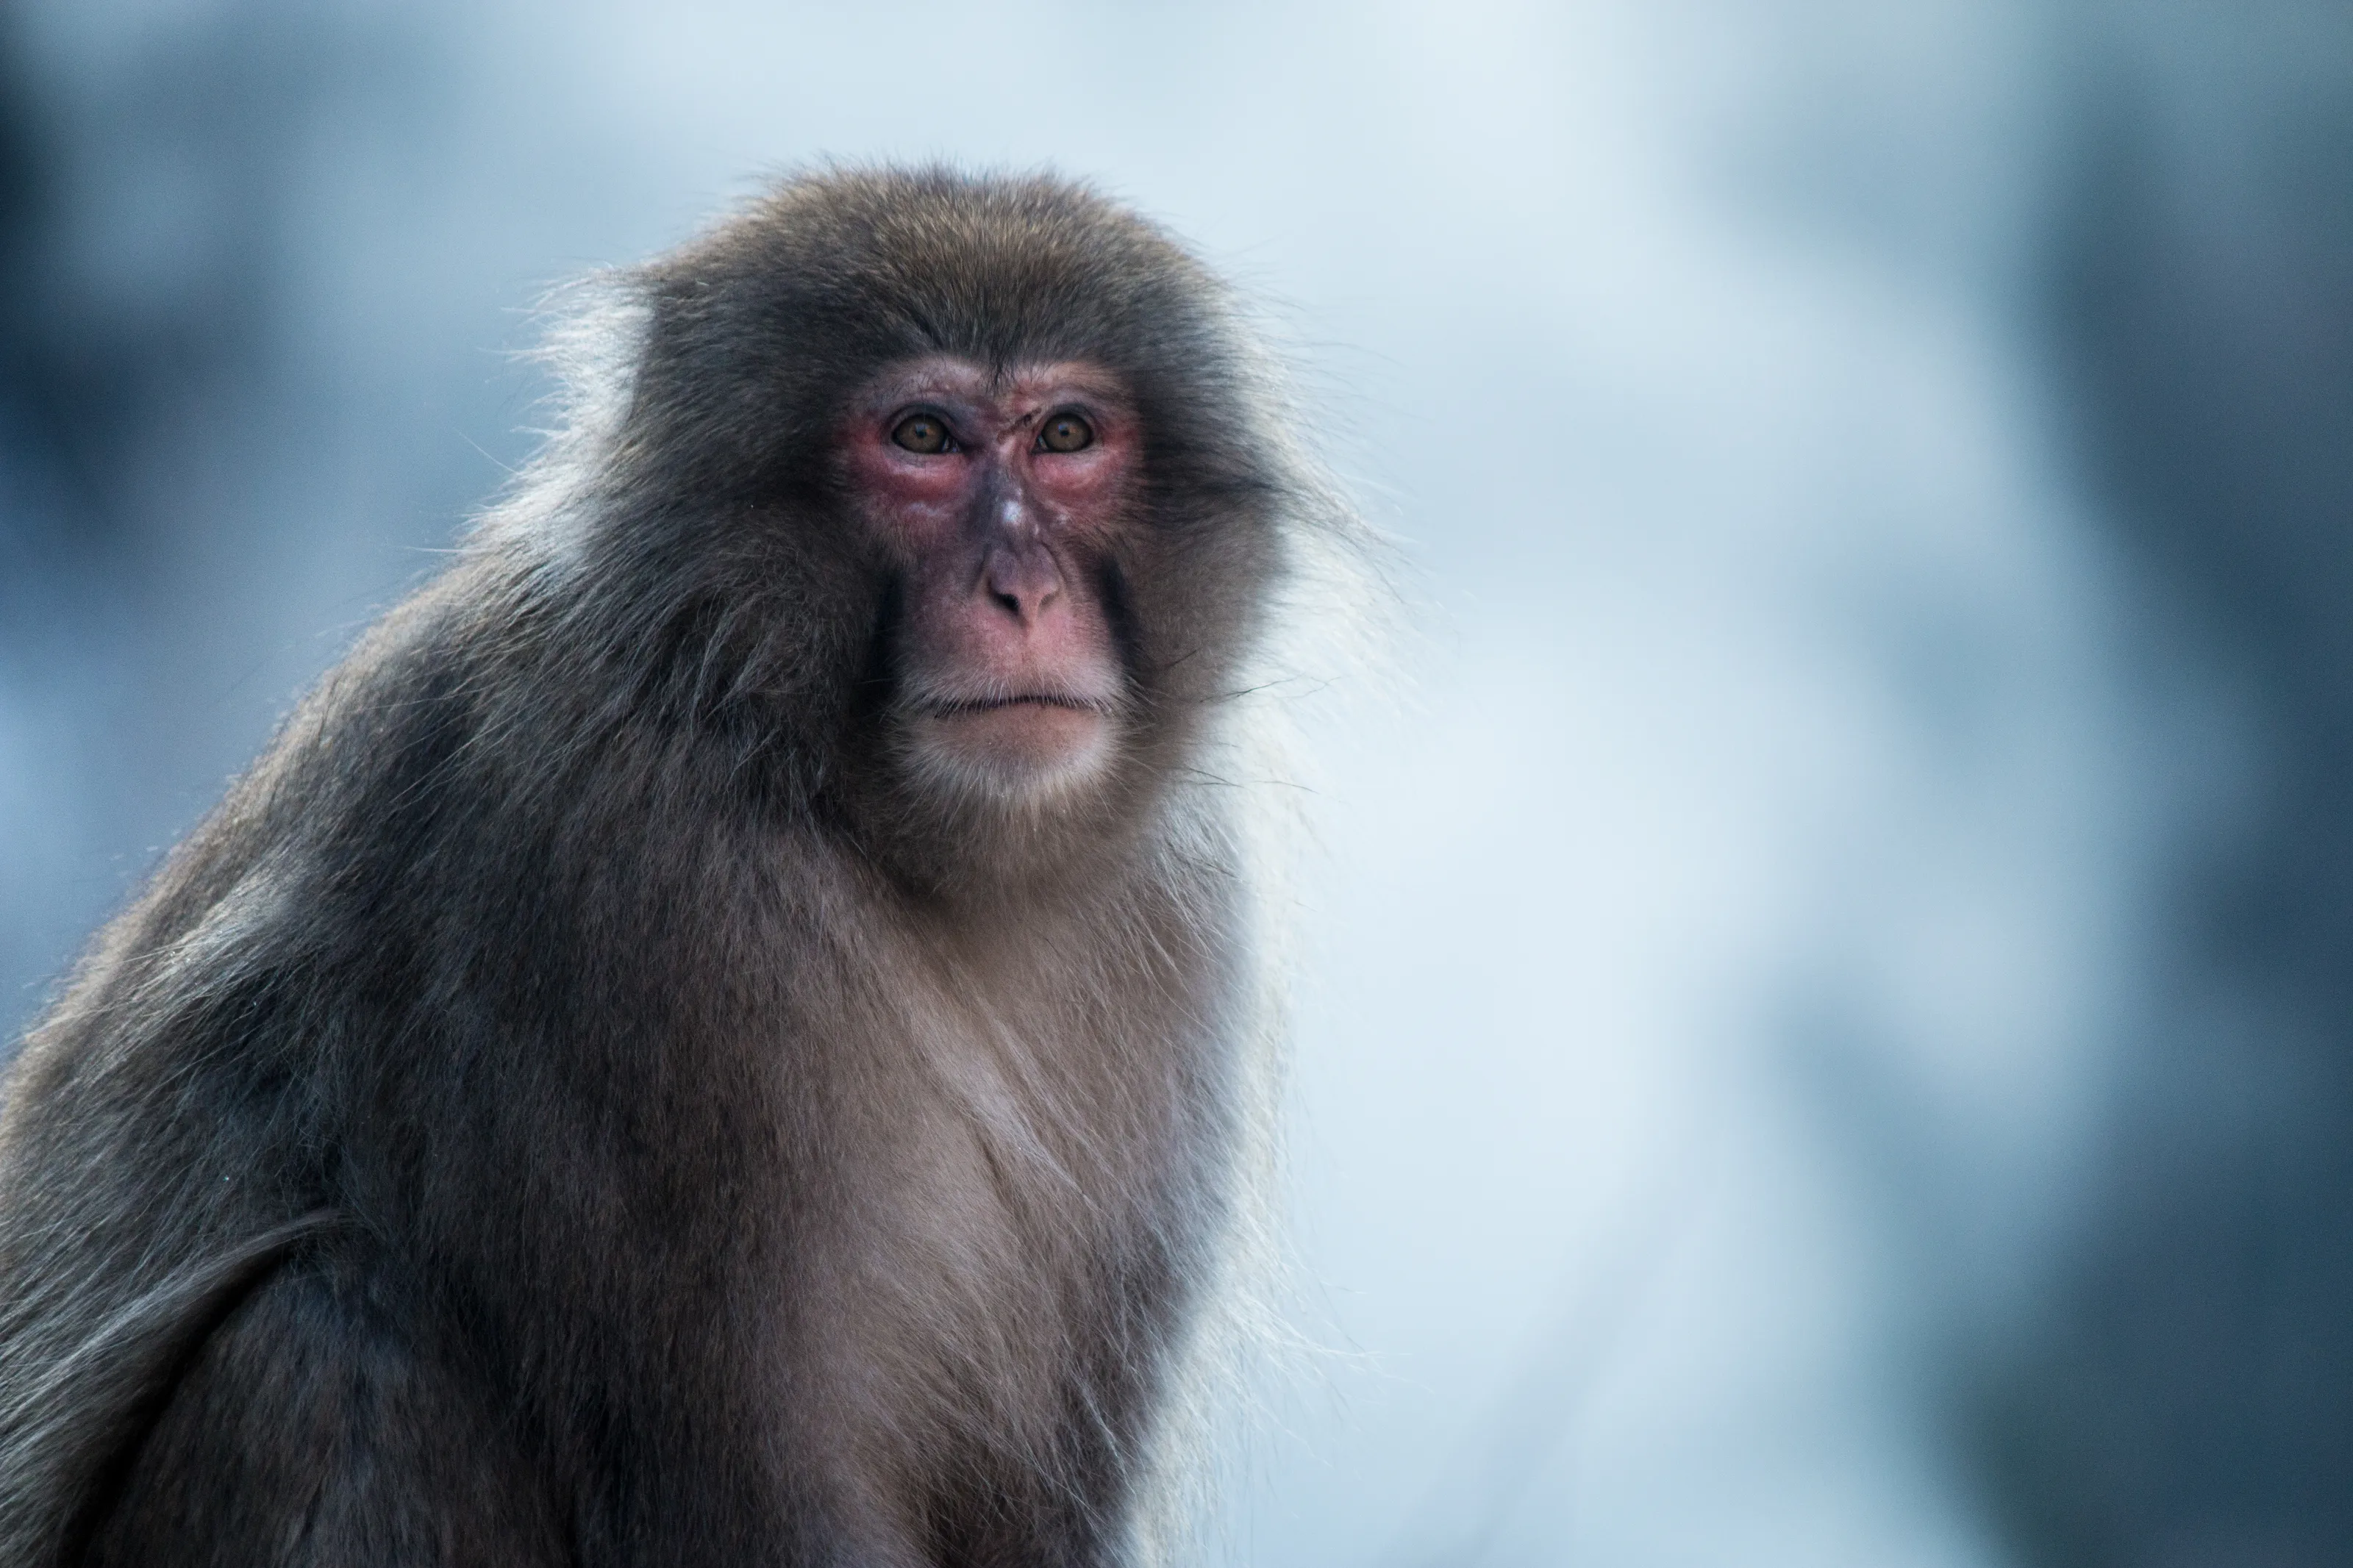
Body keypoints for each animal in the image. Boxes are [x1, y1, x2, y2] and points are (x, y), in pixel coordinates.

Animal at [0, 166, 1356, 1568]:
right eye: (924, 437)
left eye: (1070, 434)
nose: (1022, 590)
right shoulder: (623, 895)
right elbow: (733, 1492)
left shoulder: (1174, 928)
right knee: (327, 1348)